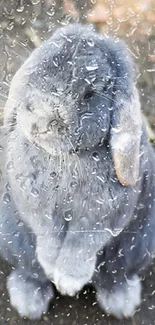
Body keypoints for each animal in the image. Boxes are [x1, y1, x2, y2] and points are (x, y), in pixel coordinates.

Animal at [1, 23, 155, 318]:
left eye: (89, 95)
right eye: (37, 72)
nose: (39, 120)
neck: (64, 160)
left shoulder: (102, 217)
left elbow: (81, 245)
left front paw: (68, 283)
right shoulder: (35, 208)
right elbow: (48, 237)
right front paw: (54, 270)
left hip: (137, 248)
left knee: (114, 276)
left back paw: (122, 303)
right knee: (30, 272)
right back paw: (29, 303)